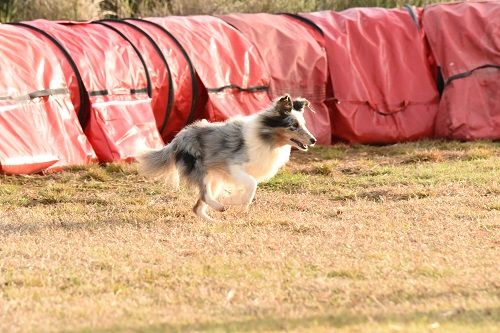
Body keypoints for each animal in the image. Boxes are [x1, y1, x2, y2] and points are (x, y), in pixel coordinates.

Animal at [138, 94, 316, 220]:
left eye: (304, 124)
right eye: (294, 126)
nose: (313, 140)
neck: (267, 138)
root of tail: (177, 139)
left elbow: (248, 192)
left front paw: (239, 204)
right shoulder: (233, 167)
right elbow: (251, 186)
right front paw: (231, 201)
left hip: (214, 179)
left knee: (197, 207)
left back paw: (214, 222)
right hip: (201, 172)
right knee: (204, 195)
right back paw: (220, 207)